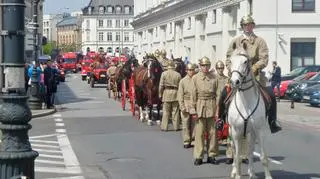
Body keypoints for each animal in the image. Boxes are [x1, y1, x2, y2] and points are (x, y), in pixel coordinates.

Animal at [228, 43, 272, 179]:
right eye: (230, 61)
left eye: (245, 61)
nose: (235, 82)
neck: (246, 103)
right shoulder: (236, 132)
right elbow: (237, 156)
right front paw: (237, 174)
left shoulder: (259, 130)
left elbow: (263, 157)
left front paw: (268, 176)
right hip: (231, 131)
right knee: (234, 150)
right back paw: (234, 171)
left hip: (251, 133)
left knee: (250, 150)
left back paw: (251, 172)